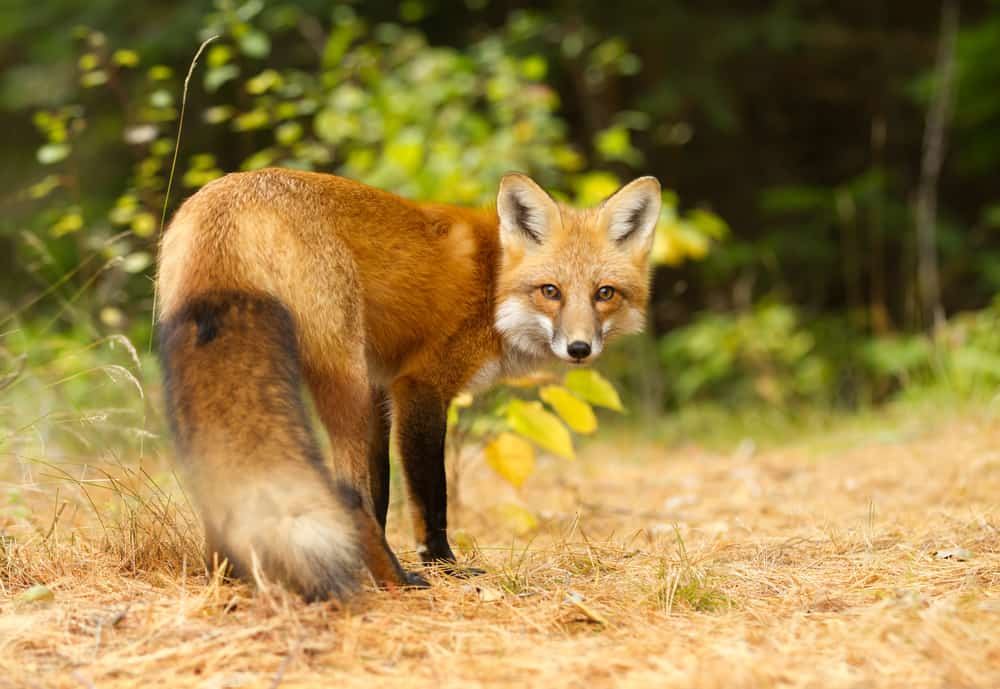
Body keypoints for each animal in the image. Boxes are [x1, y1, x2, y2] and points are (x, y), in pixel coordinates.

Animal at [156, 167, 660, 596]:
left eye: (604, 294)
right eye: (550, 291)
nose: (579, 348)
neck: (492, 284)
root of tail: (229, 202)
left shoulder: (381, 388)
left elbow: (381, 495)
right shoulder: (420, 387)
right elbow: (430, 498)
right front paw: (443, 566)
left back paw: (228, 577)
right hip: (345, 379)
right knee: (347, 492)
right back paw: (395, 581)